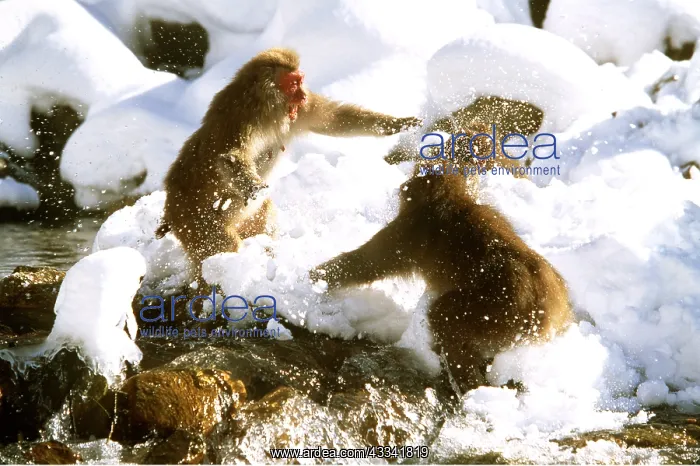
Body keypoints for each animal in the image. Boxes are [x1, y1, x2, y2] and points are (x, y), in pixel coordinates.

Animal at [156, 48, 421, 280]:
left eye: (301, 82)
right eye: (293, 83)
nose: (302, 95)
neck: (265, 105)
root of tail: (170, 208)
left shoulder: (298, 113)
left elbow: (334, 120)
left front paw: (396, 124)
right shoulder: (240, 118)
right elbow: (229, 157)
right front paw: (253, 187)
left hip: (246, 219)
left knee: (265, 218)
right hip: (195, 224)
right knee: (224, 245)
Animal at [309, 125, 572, 390]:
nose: (404, 185)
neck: (450, 194)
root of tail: (549, 305)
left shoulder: (407, 235)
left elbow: (368, 262)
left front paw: (316, 278)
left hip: (493, 309)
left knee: (444, 317)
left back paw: (464, 380)